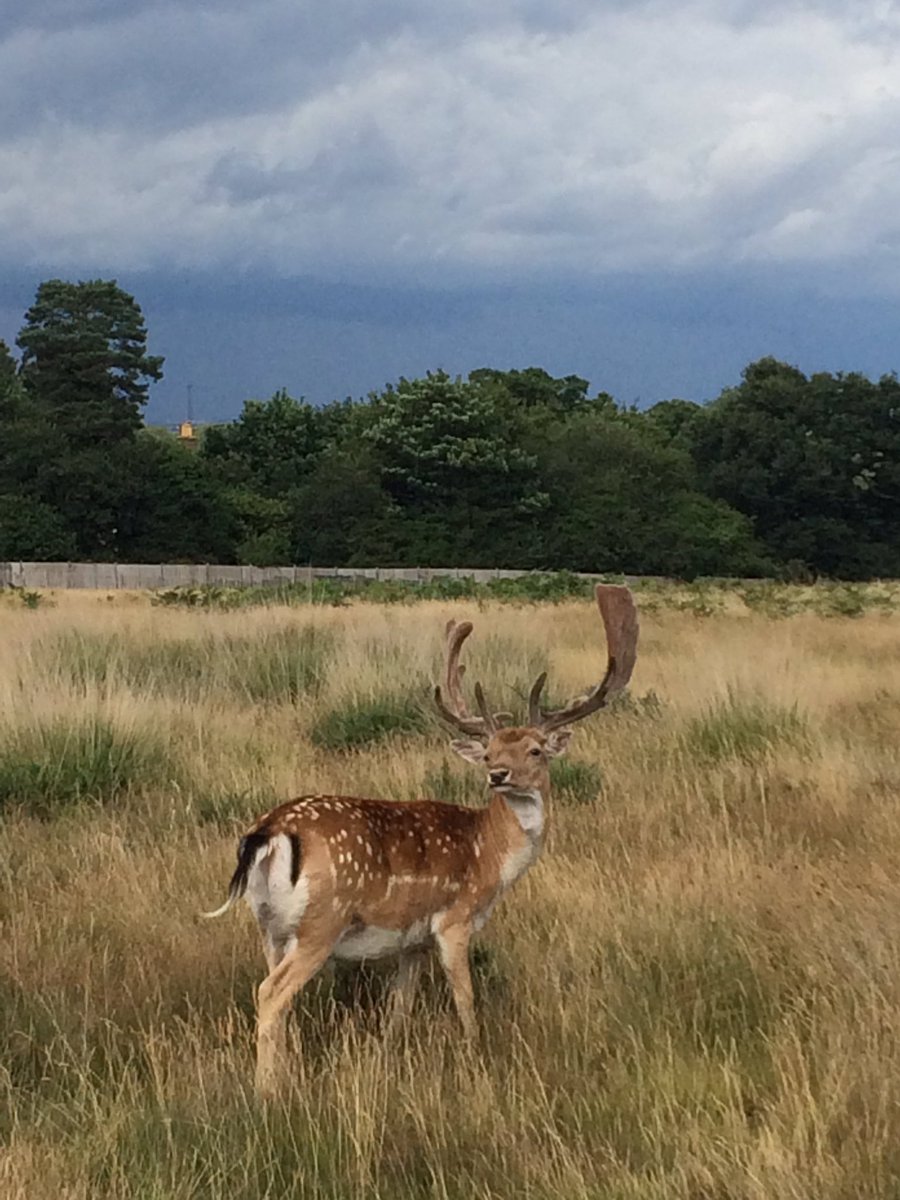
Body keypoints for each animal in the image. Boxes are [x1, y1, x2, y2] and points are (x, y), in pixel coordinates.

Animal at [204, 583, 638, 1096]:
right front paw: (475, 1058)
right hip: (321, 922)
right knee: (270, 993)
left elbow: (400, 1006)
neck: (490, 856)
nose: (498, 775)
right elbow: (466, 1000)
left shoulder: (410, 940)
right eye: (490, 752)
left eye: (534, 750)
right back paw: (267, 1090)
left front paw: (390, 1053)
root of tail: (271, 831)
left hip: (268, 925)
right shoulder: (454, 919)